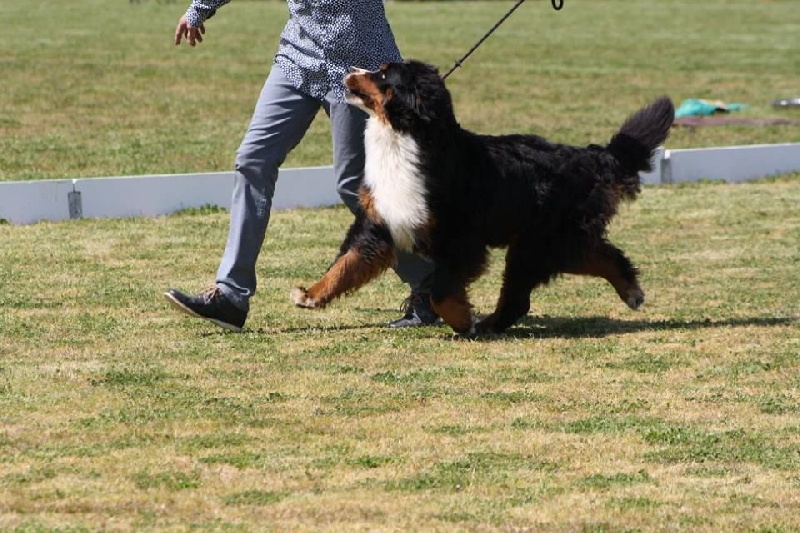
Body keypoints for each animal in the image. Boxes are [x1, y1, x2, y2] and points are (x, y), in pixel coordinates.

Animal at [290, 60, 672, 334]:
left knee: (521, 296)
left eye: (383, 74)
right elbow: (346, 263)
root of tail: (588, 155)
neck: (404, 139)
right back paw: (631, 291)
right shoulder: (379, 221)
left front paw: (462, 321)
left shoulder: (461, 240)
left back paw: (489, 324)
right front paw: (311, 294)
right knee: (601, 253)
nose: (349, 71)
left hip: (539, 243)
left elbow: (441, 290)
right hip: (551, 240)